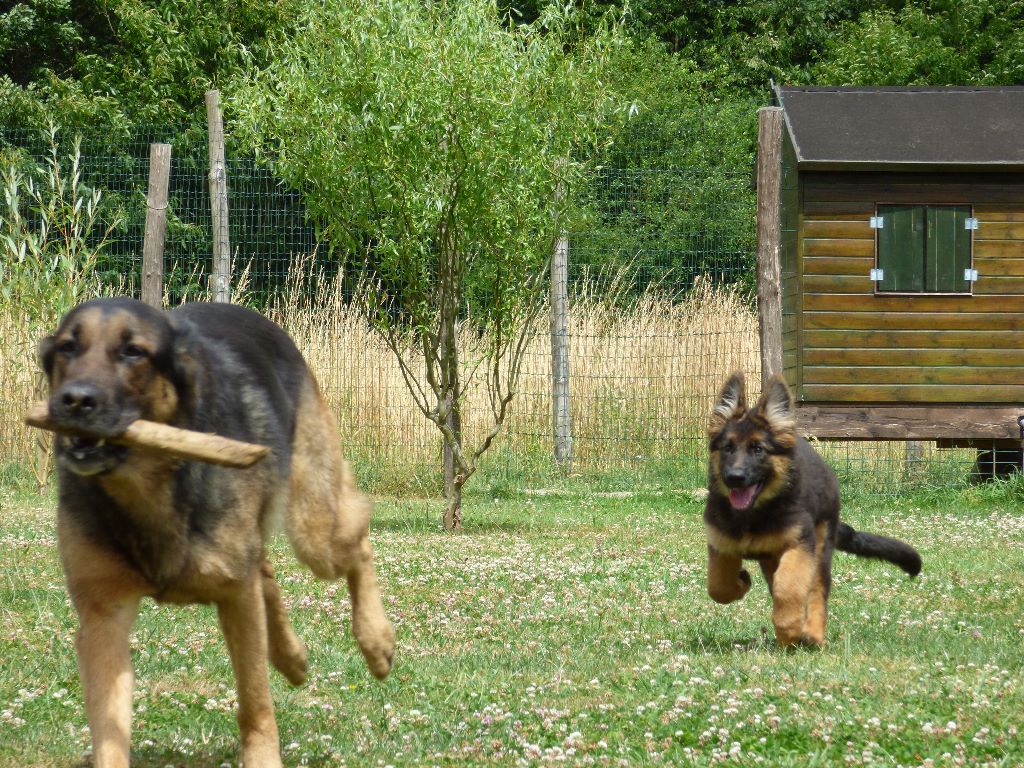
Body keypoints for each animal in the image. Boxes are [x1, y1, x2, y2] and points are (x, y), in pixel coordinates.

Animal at [37, 299, 395, 768]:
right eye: (67, 347)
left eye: (133, 352)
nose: (75, 400)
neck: (150, 486)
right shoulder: (103, 620)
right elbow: (109, 735)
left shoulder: (236, 598)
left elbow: (255, 700)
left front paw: (262, 759)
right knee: (267, 571)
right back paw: (292, 658)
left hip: (314, 527)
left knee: (357, 541)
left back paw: (377, 642)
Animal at [704, 372, 921, 651]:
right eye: (728, 448)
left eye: (758, 449)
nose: (734, 477)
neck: (754, 515)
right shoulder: (721, 544)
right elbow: (718, 586)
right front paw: (741, 581)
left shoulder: (800, 545)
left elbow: (789, 588)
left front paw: (790, 629)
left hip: (819, 546)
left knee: (817, 589)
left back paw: (812, 634)